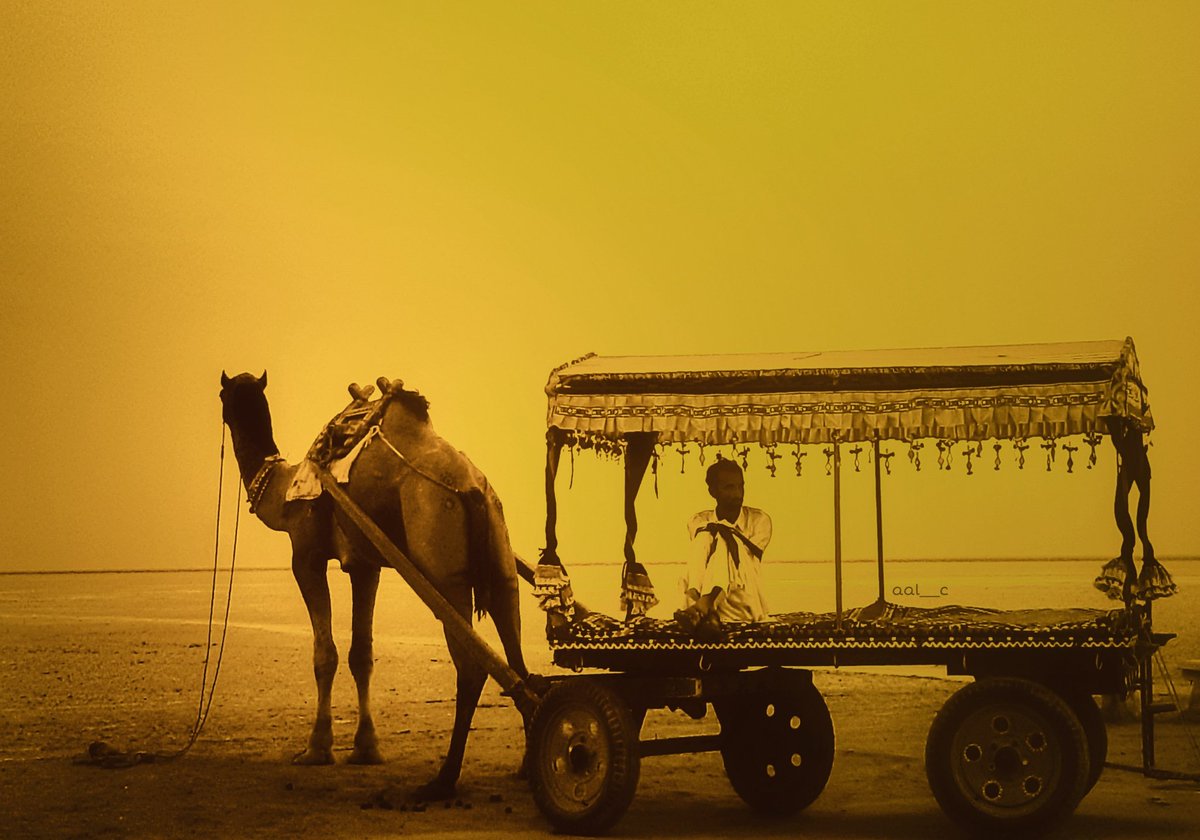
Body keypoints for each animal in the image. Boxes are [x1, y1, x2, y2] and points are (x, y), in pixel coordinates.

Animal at [219, 369, 535, 796]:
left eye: (223, 395)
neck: (283, 489)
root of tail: (473, 489)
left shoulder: (306, 555)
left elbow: (325, 654)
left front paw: (316, 749)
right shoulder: (365, 565)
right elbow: (361, 654)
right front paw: (366, 749)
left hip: (444, 570)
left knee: (473, 667)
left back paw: (444, 778)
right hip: (501, 559)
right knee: (517, 660)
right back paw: (526, 765)